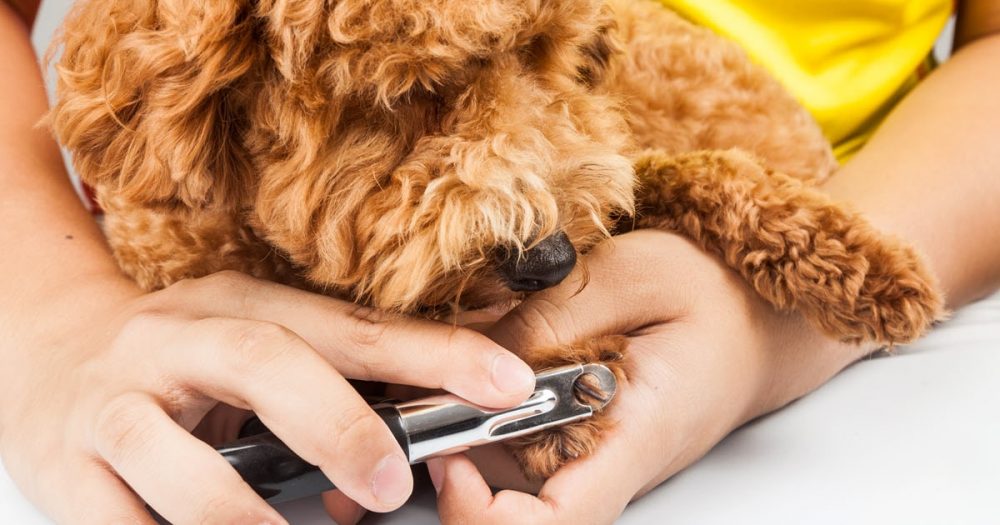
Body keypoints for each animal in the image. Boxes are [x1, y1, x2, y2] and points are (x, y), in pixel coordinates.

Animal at [48, 0, 936, 478]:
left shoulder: (606, 149)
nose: (551, 261)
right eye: (407, 91)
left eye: (550, 55)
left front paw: (865, 264)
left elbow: (676, 172)